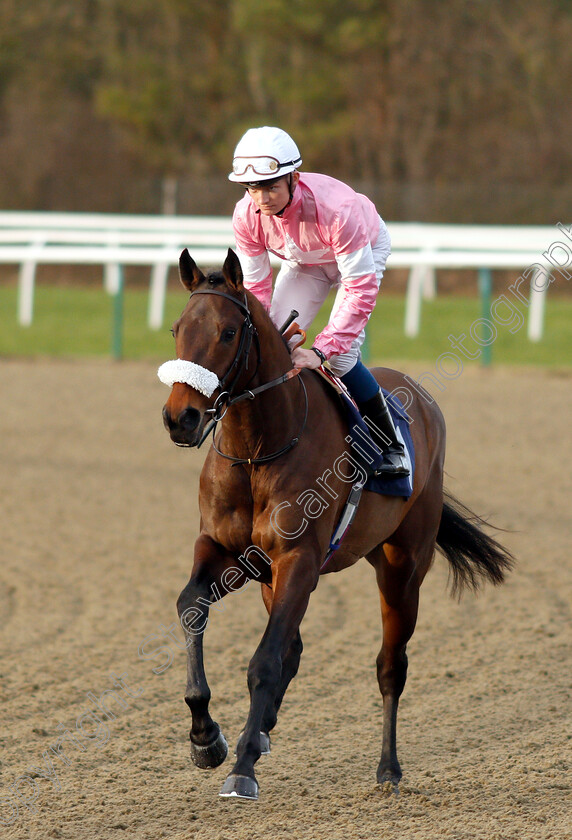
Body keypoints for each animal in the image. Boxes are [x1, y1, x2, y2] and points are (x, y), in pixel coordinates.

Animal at [159, 248, 512, 800]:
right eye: (177, 328)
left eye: (228, 333)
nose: (182, 418)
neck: (257, 450)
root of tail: (422, 398)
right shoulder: (224, 550)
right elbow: (192, 608)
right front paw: (206, 738)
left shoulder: (299, 559)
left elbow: (264, 661)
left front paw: (242, 768)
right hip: (276, 578)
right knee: (297, 649)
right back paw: (263, 731)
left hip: (402, 568)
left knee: (390, 666)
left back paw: (388, 768)